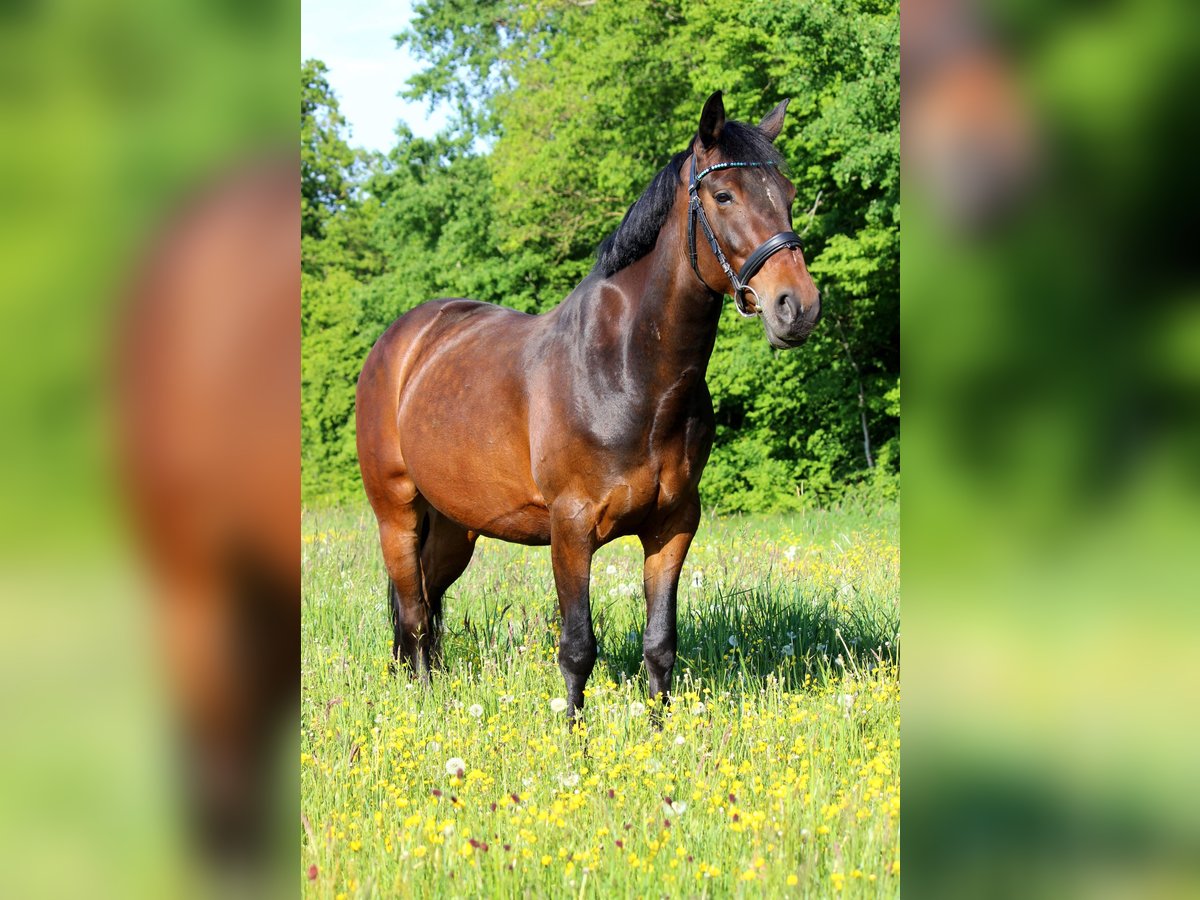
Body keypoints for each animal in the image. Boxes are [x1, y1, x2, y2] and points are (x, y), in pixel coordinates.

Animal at [355, 91, 820, 720]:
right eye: (724, 195)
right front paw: (574, 737)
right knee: (412, 615)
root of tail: (400, 342)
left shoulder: (674, 526)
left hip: (455, 526)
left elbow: (660, 643)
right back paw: (422, 704)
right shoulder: (570, 530)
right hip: (397, 513)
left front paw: (660, 731)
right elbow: (577, 648)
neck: (628, 373)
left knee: (426, 605)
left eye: (788, 195)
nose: (798, 306)